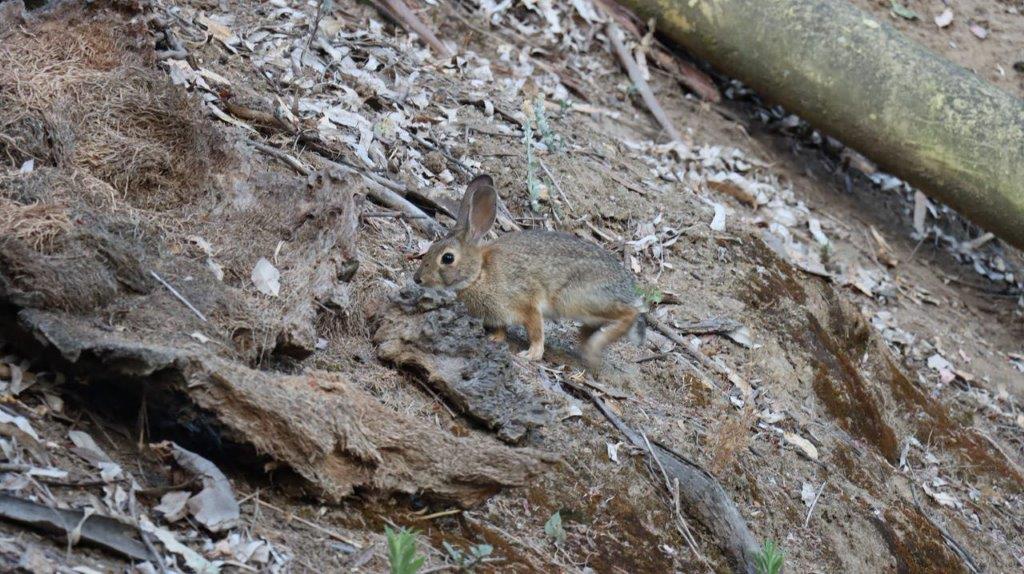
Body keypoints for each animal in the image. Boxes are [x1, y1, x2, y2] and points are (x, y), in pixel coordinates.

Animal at [411, 171, 643, 368]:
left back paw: (595, 346)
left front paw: (531, 354)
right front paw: (495, 338)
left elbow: (536, 330)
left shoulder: (527, 302)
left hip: (576, 299)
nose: (417, 279)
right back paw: (586, 344)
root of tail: (627, 290)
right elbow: (501, 328)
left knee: (630, 313)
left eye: (447, 258)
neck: (479, 274)